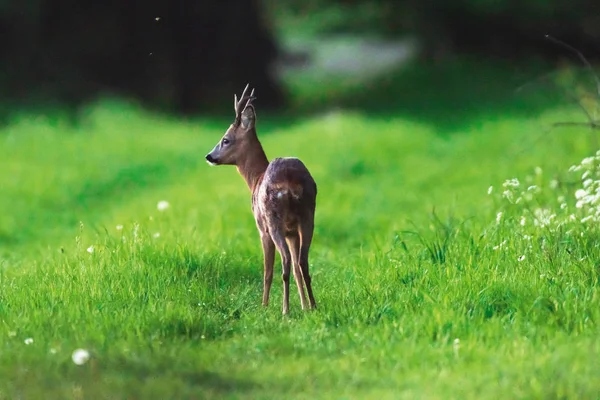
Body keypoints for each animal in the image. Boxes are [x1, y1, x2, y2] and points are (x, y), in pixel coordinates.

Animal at [205, 84, 318, 316]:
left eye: (225, 139)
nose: (209, 156)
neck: (255, 178)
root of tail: (289, 182)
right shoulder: (292, 232)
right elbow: (296, 268)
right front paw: (304, 306)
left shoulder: (261, 228)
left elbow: (267, 271)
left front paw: (263, 306)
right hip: (307, 216)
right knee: (301, 261)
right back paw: (313, 305)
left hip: (273, 219)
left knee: (285, 262)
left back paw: (285, 310)